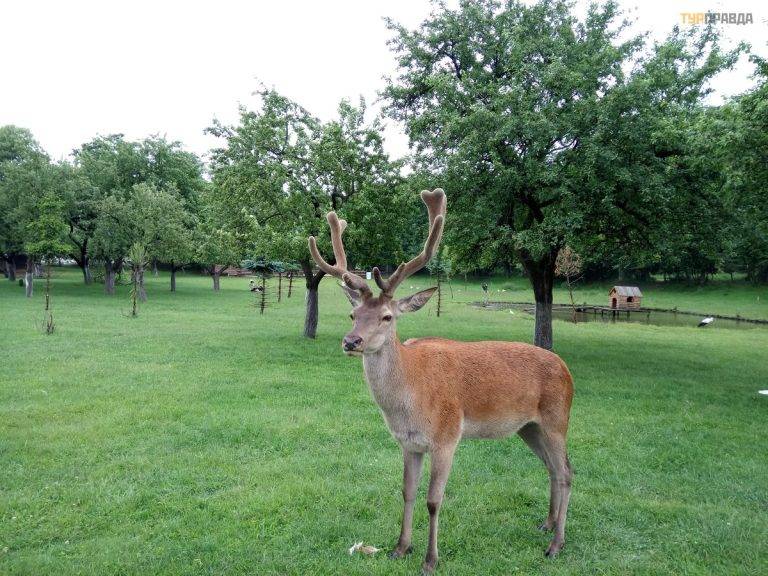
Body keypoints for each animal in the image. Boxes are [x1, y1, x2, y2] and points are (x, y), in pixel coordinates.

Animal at [308, 188, 572, 572]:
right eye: (353, 313)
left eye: (387, 316)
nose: (351, 341)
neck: (409, 402)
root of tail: (567, 370)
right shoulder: (408, 442)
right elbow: (407, 491)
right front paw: (400, 547)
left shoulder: (447, 437)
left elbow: (434, 500)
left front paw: (430, 560)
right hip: (529, 427)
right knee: (552, 468)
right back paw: (547, 524)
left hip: (556, 419)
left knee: (566, 472)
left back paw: (556, 545)